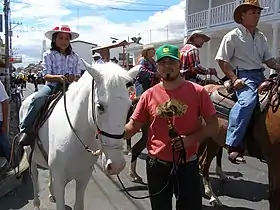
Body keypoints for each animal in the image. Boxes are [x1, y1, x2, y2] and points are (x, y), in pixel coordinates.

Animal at [19, 61, 139, 210]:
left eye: (129, 107)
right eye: (100, 106)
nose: (116, 165)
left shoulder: (83, 177)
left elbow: (79, 204)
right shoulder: (60, 180)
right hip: (30, 155)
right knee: (34, 177)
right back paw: (36, 203)